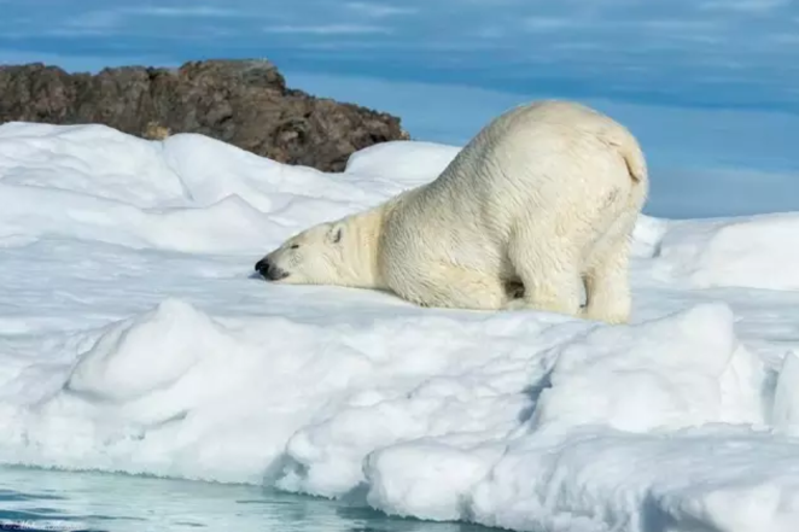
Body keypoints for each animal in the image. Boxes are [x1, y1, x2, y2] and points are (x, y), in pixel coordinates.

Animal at [256, 100, 648, 324]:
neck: (380, 233)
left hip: (552, 194)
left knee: (539, 251)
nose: (261, 264)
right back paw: (602, 313)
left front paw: (505, 296)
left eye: (293, 245)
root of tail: (618, 142)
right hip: (620, 205)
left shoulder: (406, 254)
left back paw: (528, 306)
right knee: (609, 262)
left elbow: (461, 287)